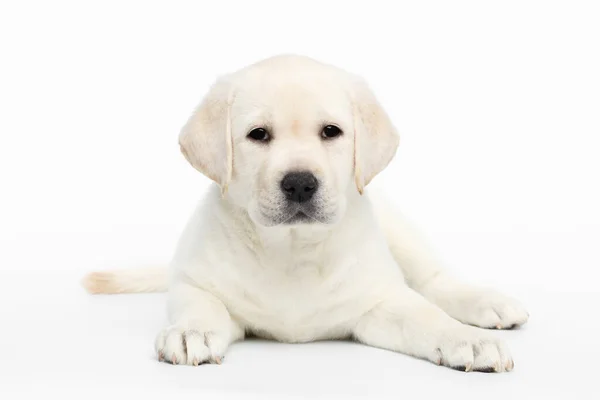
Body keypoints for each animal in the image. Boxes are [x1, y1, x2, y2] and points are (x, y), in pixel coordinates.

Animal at [83, 53, 524, 372]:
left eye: (331, 131)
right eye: (258, 135)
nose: (299, 183)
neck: (292, 250)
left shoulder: (379, 302)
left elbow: (425, 316)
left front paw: (466, 340)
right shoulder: (194, 282)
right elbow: (201, 305)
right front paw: (191, 333)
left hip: (401, 232)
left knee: (434, 280)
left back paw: (486, 305)